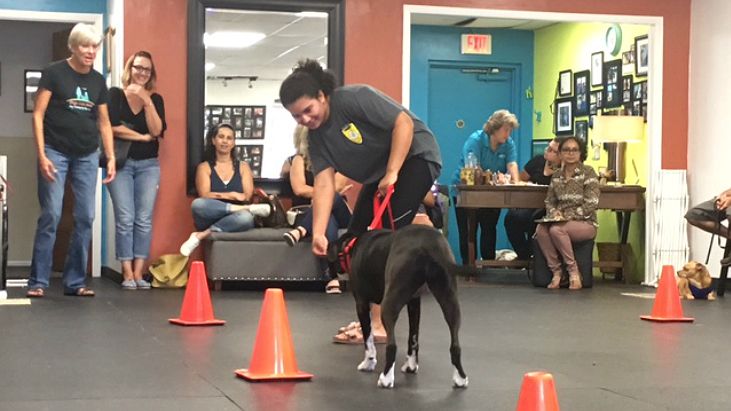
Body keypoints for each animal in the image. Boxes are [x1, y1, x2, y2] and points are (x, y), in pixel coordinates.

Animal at [328, 225, 474, 390]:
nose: (330, 275)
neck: (350, 248)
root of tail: (427, 243)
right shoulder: (414, 303)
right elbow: (413, 337)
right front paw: (411, 366)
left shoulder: (361, 303)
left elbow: (368, 340)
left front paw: (368, 363)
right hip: (450, 302)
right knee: (455, 346)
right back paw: (460, 378)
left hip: (388, 305)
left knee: (392, 346)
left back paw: (386, 378)